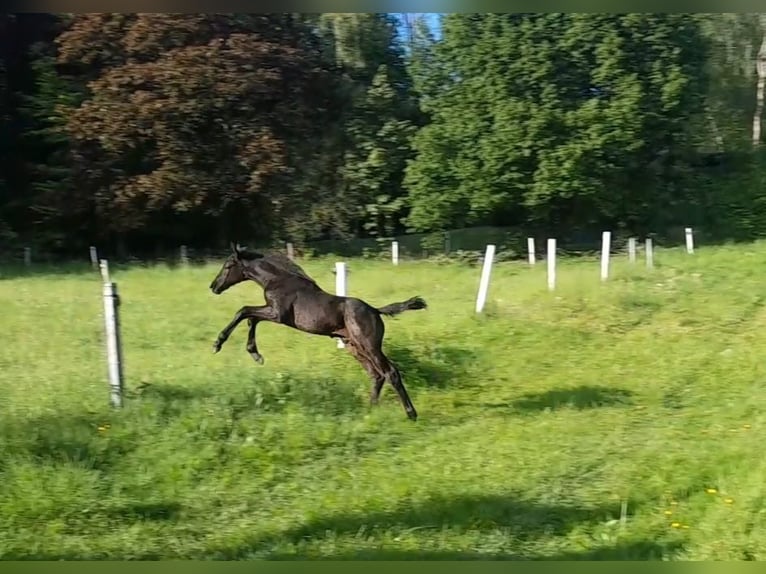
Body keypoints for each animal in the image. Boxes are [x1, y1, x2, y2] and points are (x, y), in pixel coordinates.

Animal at [207, 241, 428, 420]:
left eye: (228, 266)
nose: (213, 286)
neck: (278, 280)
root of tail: (375, 310)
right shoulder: (272, 312)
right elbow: (250, 319)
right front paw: (255, 354)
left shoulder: (277, 314)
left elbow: (244, 311)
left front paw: (219, 344)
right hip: (354, 346)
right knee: (376, 375)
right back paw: (370, 411)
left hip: (369, 345)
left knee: (390, 372)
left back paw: (411, 414)